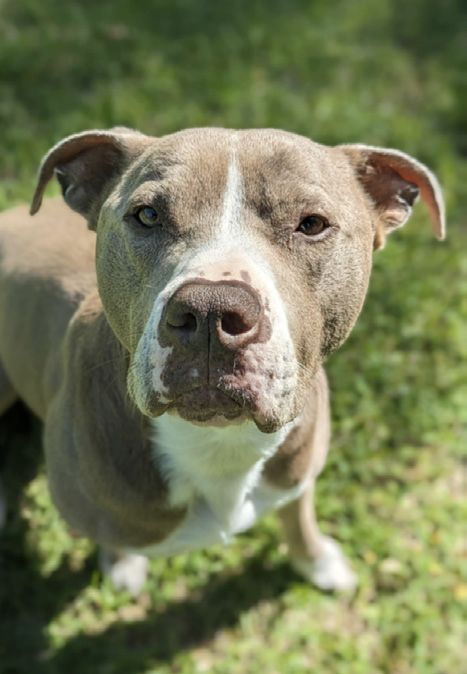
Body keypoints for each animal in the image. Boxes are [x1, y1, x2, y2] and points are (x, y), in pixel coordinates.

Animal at [0, 127, 446, 592]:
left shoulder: (299, 472)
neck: (220, 442)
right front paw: (122, 562)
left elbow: (298, 514)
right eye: (147, 215)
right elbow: (114, 535)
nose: (210, 311)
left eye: (311, 224)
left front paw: (318, 561)